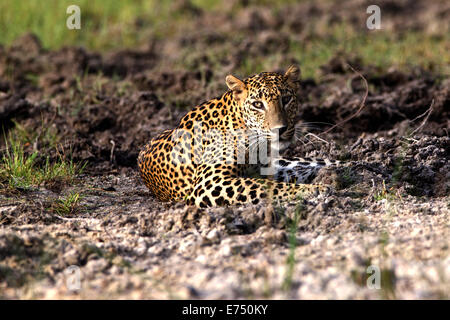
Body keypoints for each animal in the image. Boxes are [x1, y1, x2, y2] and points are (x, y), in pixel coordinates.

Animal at [139, 64, 336, 208]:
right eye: (258, 104)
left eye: (286, 99)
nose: (280, 129)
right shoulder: (209, 183)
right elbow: (265, 186)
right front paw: (315, 190)